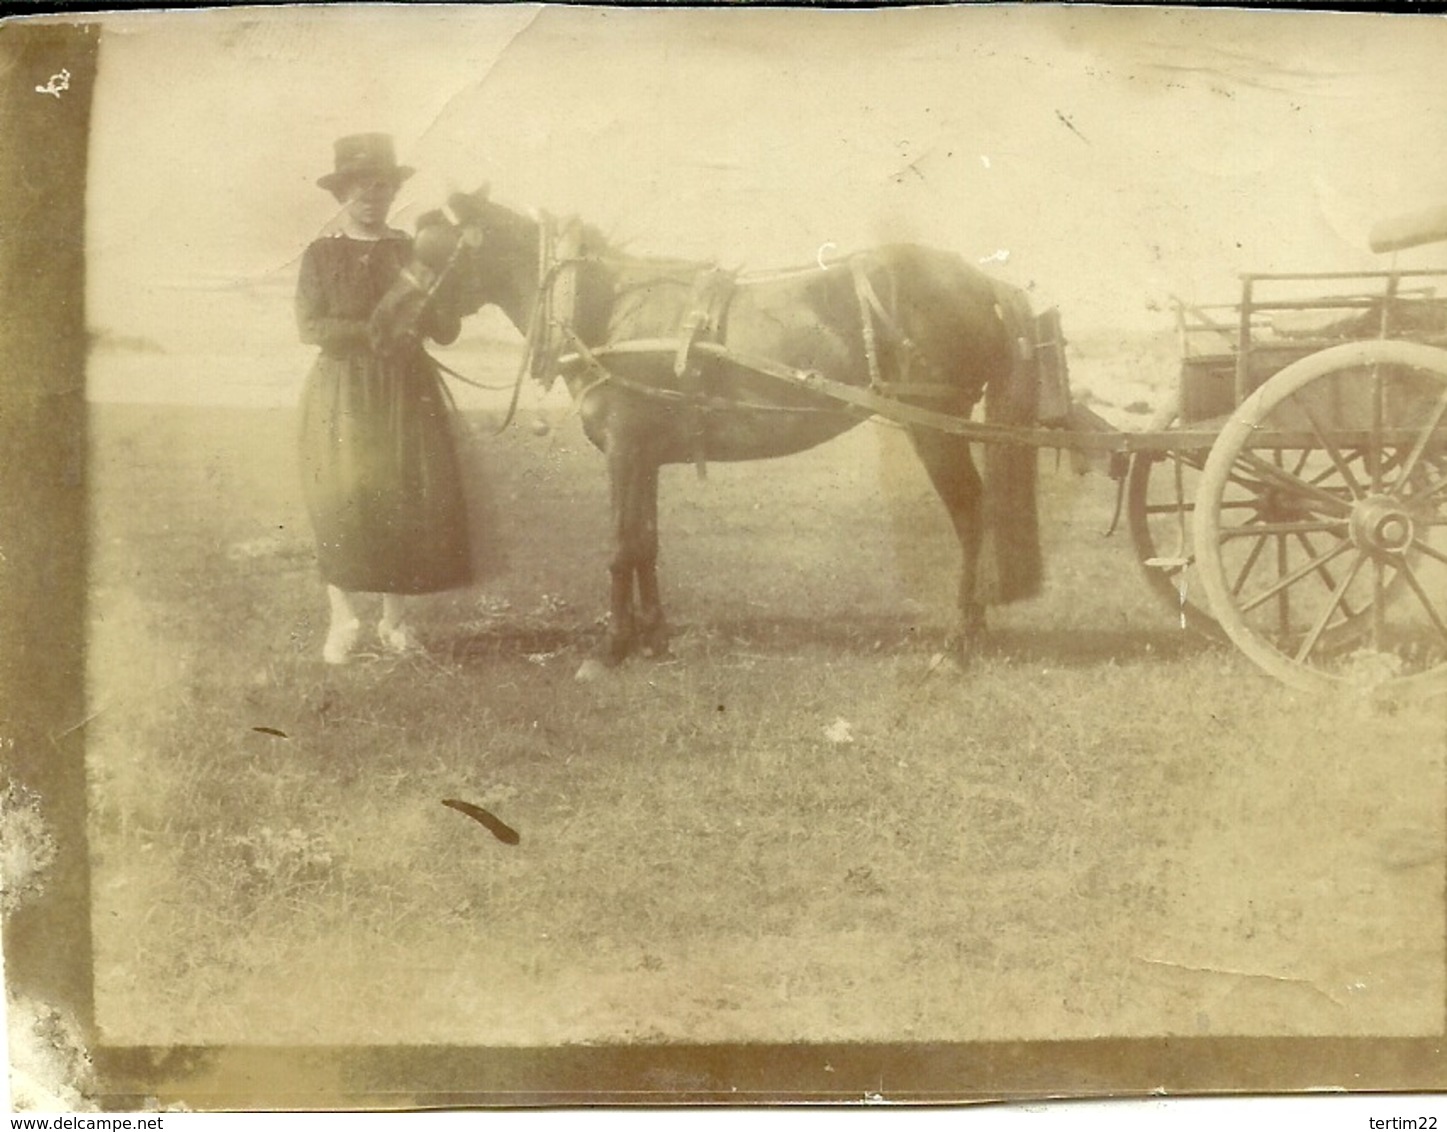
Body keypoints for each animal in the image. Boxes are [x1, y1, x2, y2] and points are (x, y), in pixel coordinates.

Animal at [373, 185, 1053, 665]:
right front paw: (652, 638)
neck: (606, 309)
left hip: (936, 428)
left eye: (429, 252)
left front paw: (611, 648)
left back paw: (959, 641)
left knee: (970, 516)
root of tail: (980, 280)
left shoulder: (623, 450)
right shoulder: (643, 455)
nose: (380, 325)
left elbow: (619, 546)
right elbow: (645, 542)